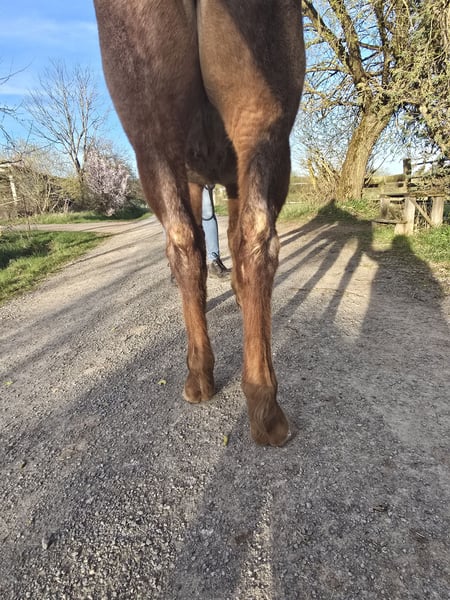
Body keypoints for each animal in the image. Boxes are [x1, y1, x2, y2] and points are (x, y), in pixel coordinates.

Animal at [93, 0, 305, 446]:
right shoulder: (227, 179)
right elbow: (231, 237)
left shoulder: (198, 182)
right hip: (260, 126)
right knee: (254, 238)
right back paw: (262, 403)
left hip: (154, 140)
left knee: (186, 242)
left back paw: (203, 378)